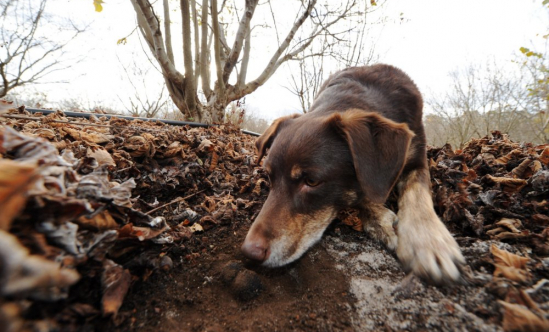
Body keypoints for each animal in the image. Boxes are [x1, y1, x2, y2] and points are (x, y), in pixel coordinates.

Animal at [242, 63, 464, 284]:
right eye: (269, 177)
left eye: (311, 181)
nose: (249, 253)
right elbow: (364, 191)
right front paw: (379, 219)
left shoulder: (418, 157)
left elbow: (417, 192)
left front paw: (428, 241)